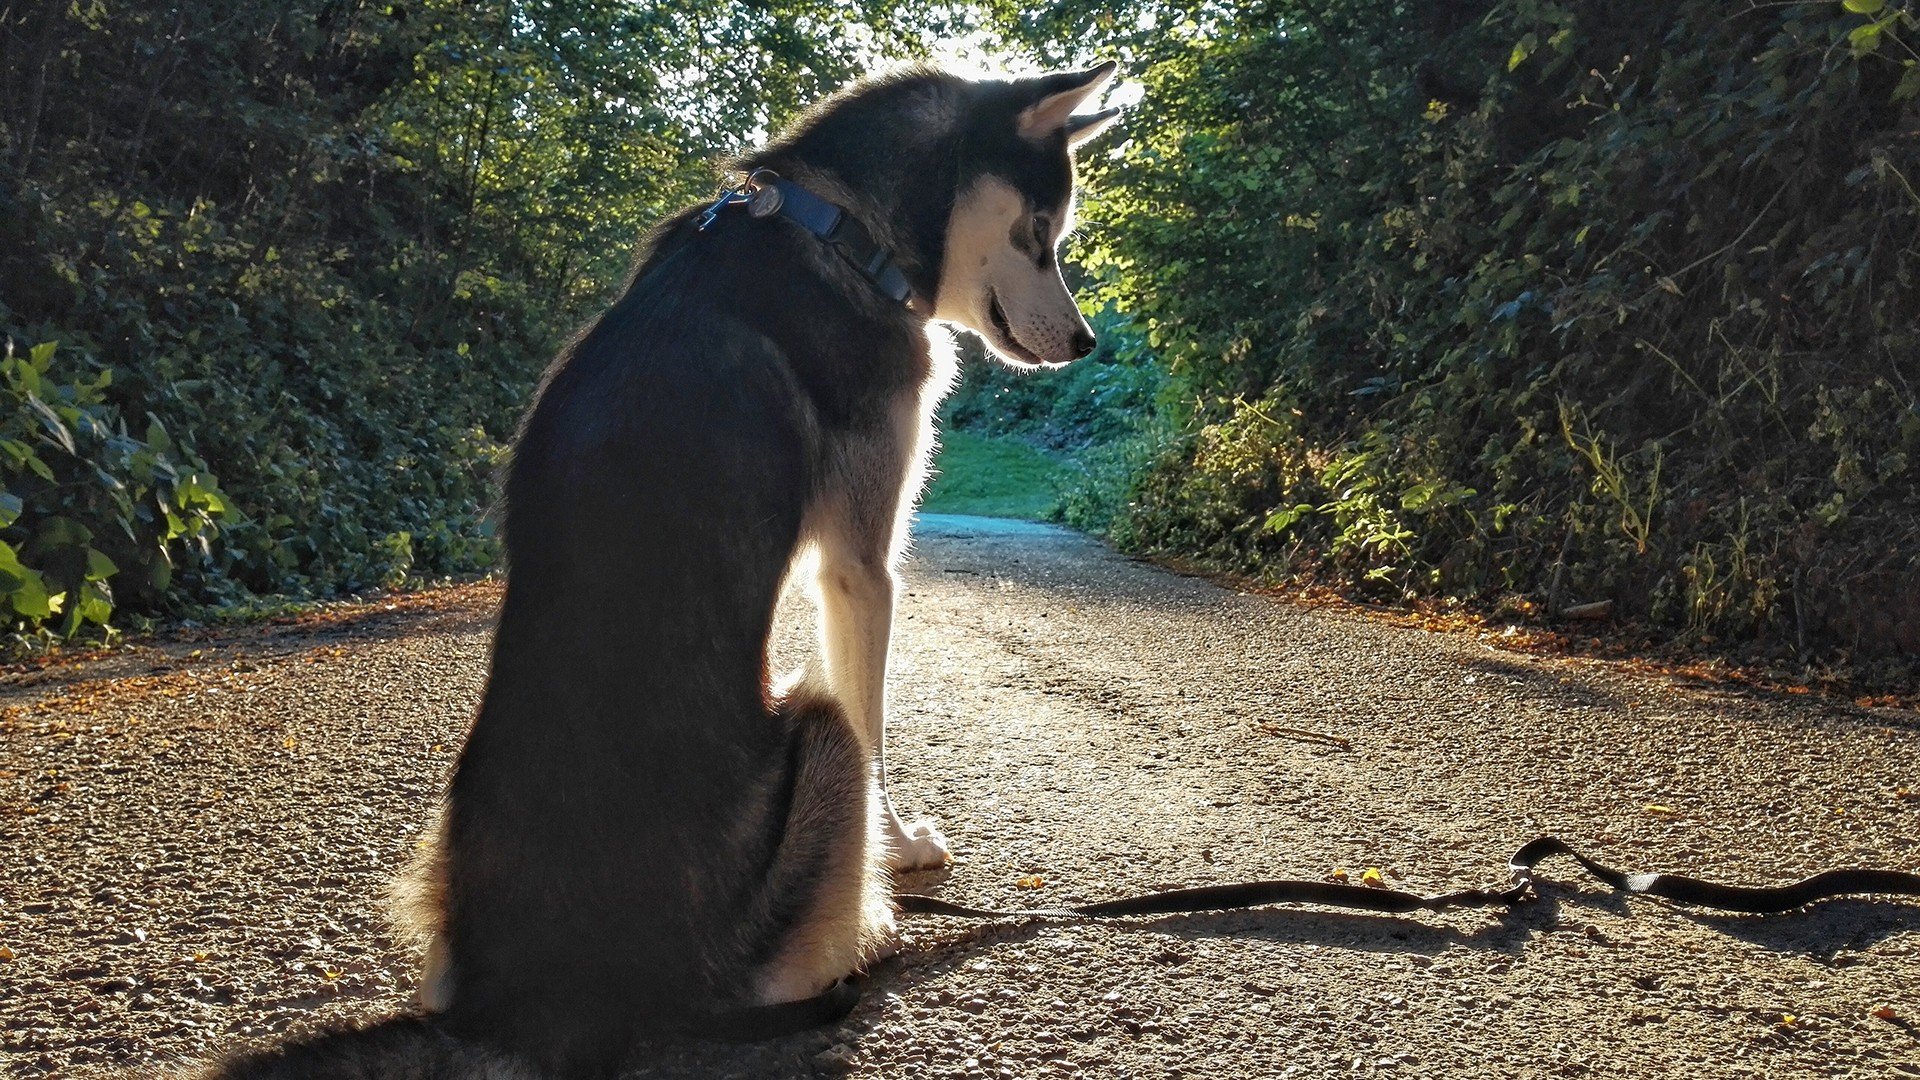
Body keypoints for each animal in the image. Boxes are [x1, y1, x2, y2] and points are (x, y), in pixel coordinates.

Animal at [202, 62, 1121, 1068]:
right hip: (815, 731)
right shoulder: (860, 567)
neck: (835, 226)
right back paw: (869, 940)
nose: (1087, 343)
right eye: (1040, 233)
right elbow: (881, 735)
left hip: (440, 866)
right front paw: (899, 846)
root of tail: (531, 1004)